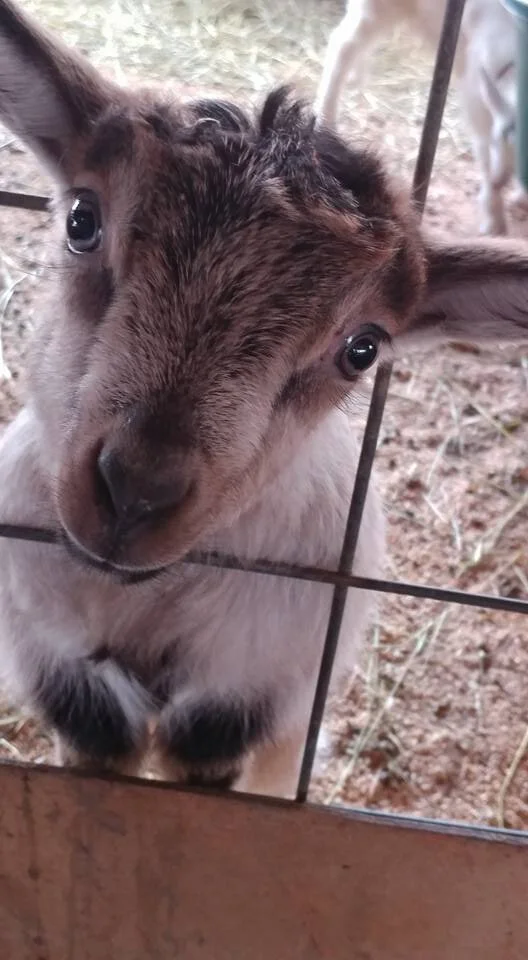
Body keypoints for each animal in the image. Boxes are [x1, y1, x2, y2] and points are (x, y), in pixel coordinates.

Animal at [314, 0, 522, 236]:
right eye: (500, 138)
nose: (502, 179)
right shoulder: (476, 93)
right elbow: (484, 147)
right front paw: (494, 219)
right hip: (381, 6)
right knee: (344, 43)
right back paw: (327, 117)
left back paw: (356, 76)